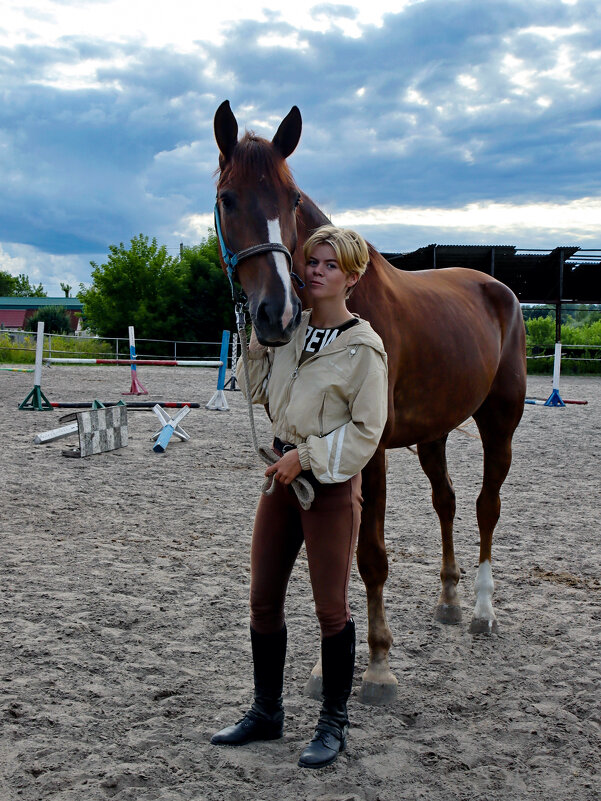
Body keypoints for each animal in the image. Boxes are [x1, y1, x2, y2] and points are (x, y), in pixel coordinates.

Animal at [214, 98, 524, 700]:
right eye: (227, 198)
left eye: (291, 199)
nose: (276, 314)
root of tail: (499, 289)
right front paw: (324, 669)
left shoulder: (368, 449)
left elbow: (370, 556)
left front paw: (378, 663)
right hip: (433, 433)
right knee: (448, 501)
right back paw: (449, 601)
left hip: (499, 422)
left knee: (485, 506)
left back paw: (481, 611)